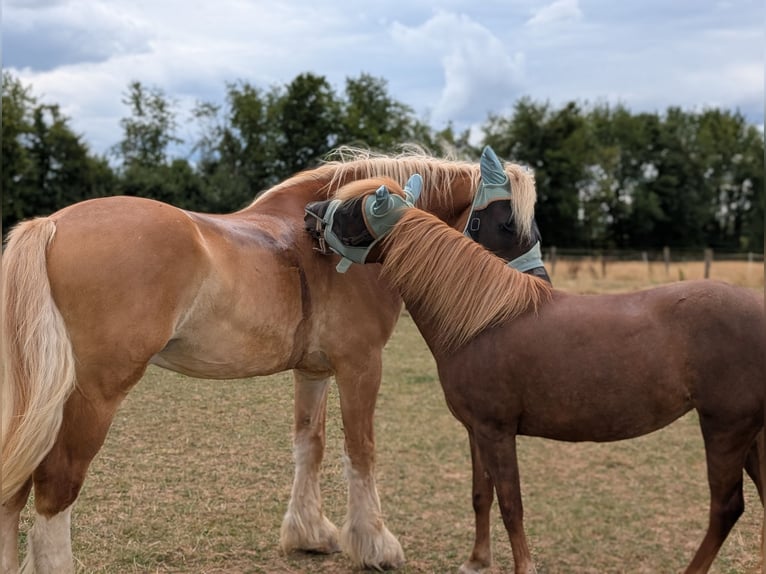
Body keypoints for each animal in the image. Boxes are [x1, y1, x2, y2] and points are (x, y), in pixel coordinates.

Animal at [0, 146, 544, 573]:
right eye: (506, 222)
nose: (538, 288)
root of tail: (51, 226)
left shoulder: (314, 371)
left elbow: (310, 445)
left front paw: (310, 534)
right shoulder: (361, 366)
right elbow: (361, 451)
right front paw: (375, 545)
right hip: (93, 397)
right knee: (56, 484)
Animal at [303, 167, 766, 573]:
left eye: (352, 210)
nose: (309, 215)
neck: (483, 319)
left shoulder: (497, 432)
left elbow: (512, 505)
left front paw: (521, 565)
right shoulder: (476, 431)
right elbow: (481, 495)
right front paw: (476, 561)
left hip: (725, 429)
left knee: (726, 508)